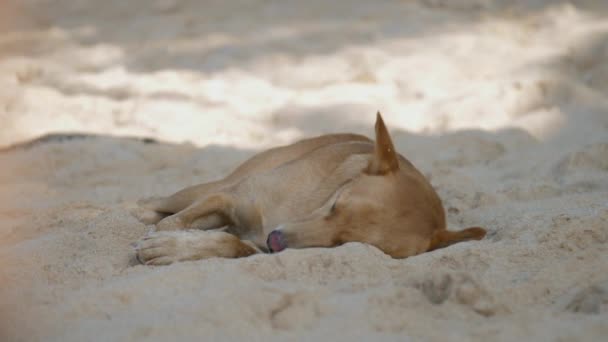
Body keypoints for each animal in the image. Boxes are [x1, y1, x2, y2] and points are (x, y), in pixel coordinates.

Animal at [133, 113, 484, 266]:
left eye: (344, 244)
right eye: (335, 205)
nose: (275, 241)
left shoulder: (255, 246)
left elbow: (232, 244)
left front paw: (173, 248)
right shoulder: (228, 198)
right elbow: (171, 223)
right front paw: (166, 240)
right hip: (205, 188)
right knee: (152, 206)